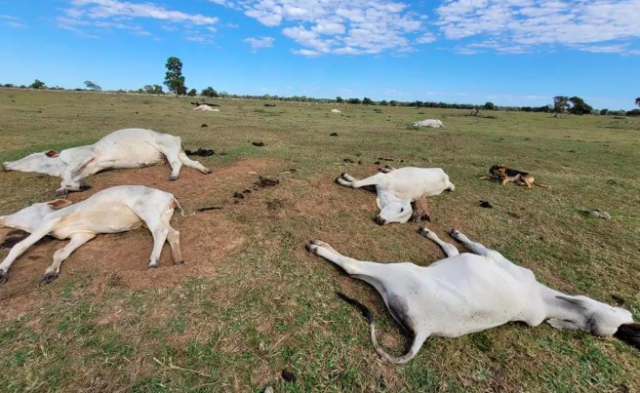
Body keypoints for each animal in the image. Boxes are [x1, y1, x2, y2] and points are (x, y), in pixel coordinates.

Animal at [0, 185, 185, 284]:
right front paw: (50, 272)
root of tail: (169, 196)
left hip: (145, 210)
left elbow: (20, 245)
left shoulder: (50, 221)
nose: (3, 217)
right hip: (162, 216)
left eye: (30, 207)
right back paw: (178, 259)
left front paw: (2, 271)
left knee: (160, 231)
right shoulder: (83, 235)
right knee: (172, 233)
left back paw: (153, 262)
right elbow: (60, 252)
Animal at [3, 128, 212, 195]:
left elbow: (68, 174)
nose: (5, 165)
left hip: (168, 149)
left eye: (32, 156)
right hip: (176, 152)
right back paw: (205, 170)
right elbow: (69, 180)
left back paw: (174, 175)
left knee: (177, 165)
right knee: (192, 163)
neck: (59, 164)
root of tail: (176, 138)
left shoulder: (87, 155)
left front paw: (69, 187)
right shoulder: (87, 169)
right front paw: (71, 187)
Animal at [304, 228, 640, 362]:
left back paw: (320, 247)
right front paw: (432, 232)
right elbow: (452, 249)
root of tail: (425, 330)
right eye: (623, 314)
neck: (545, 301)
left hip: (400, 271)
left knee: (353, 267)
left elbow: (471, 245)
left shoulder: (492, 256)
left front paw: (455, 233)